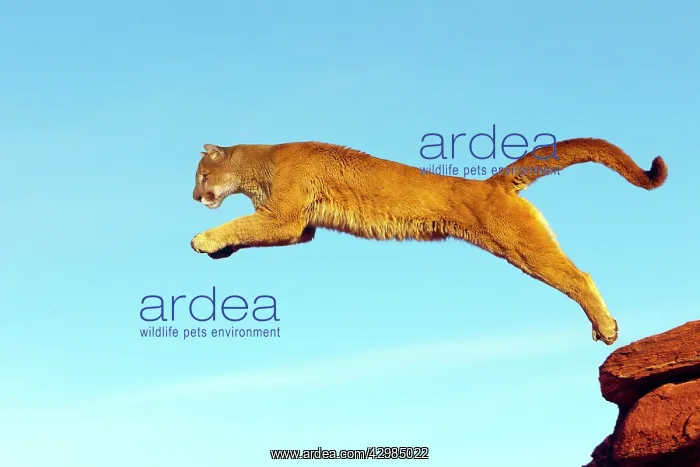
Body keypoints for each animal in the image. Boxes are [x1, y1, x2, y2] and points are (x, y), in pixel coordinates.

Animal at [190, 139, 667, 345]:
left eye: (201, 175)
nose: (195, 197)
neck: (260, 164)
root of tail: (491, 184)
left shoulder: (285, 217)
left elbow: (241, 223)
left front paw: (203, 239)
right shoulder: (298, 227)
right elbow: (249, 231)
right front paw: (220, 250)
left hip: (521, 246)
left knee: (579, 276)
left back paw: (607, 327)